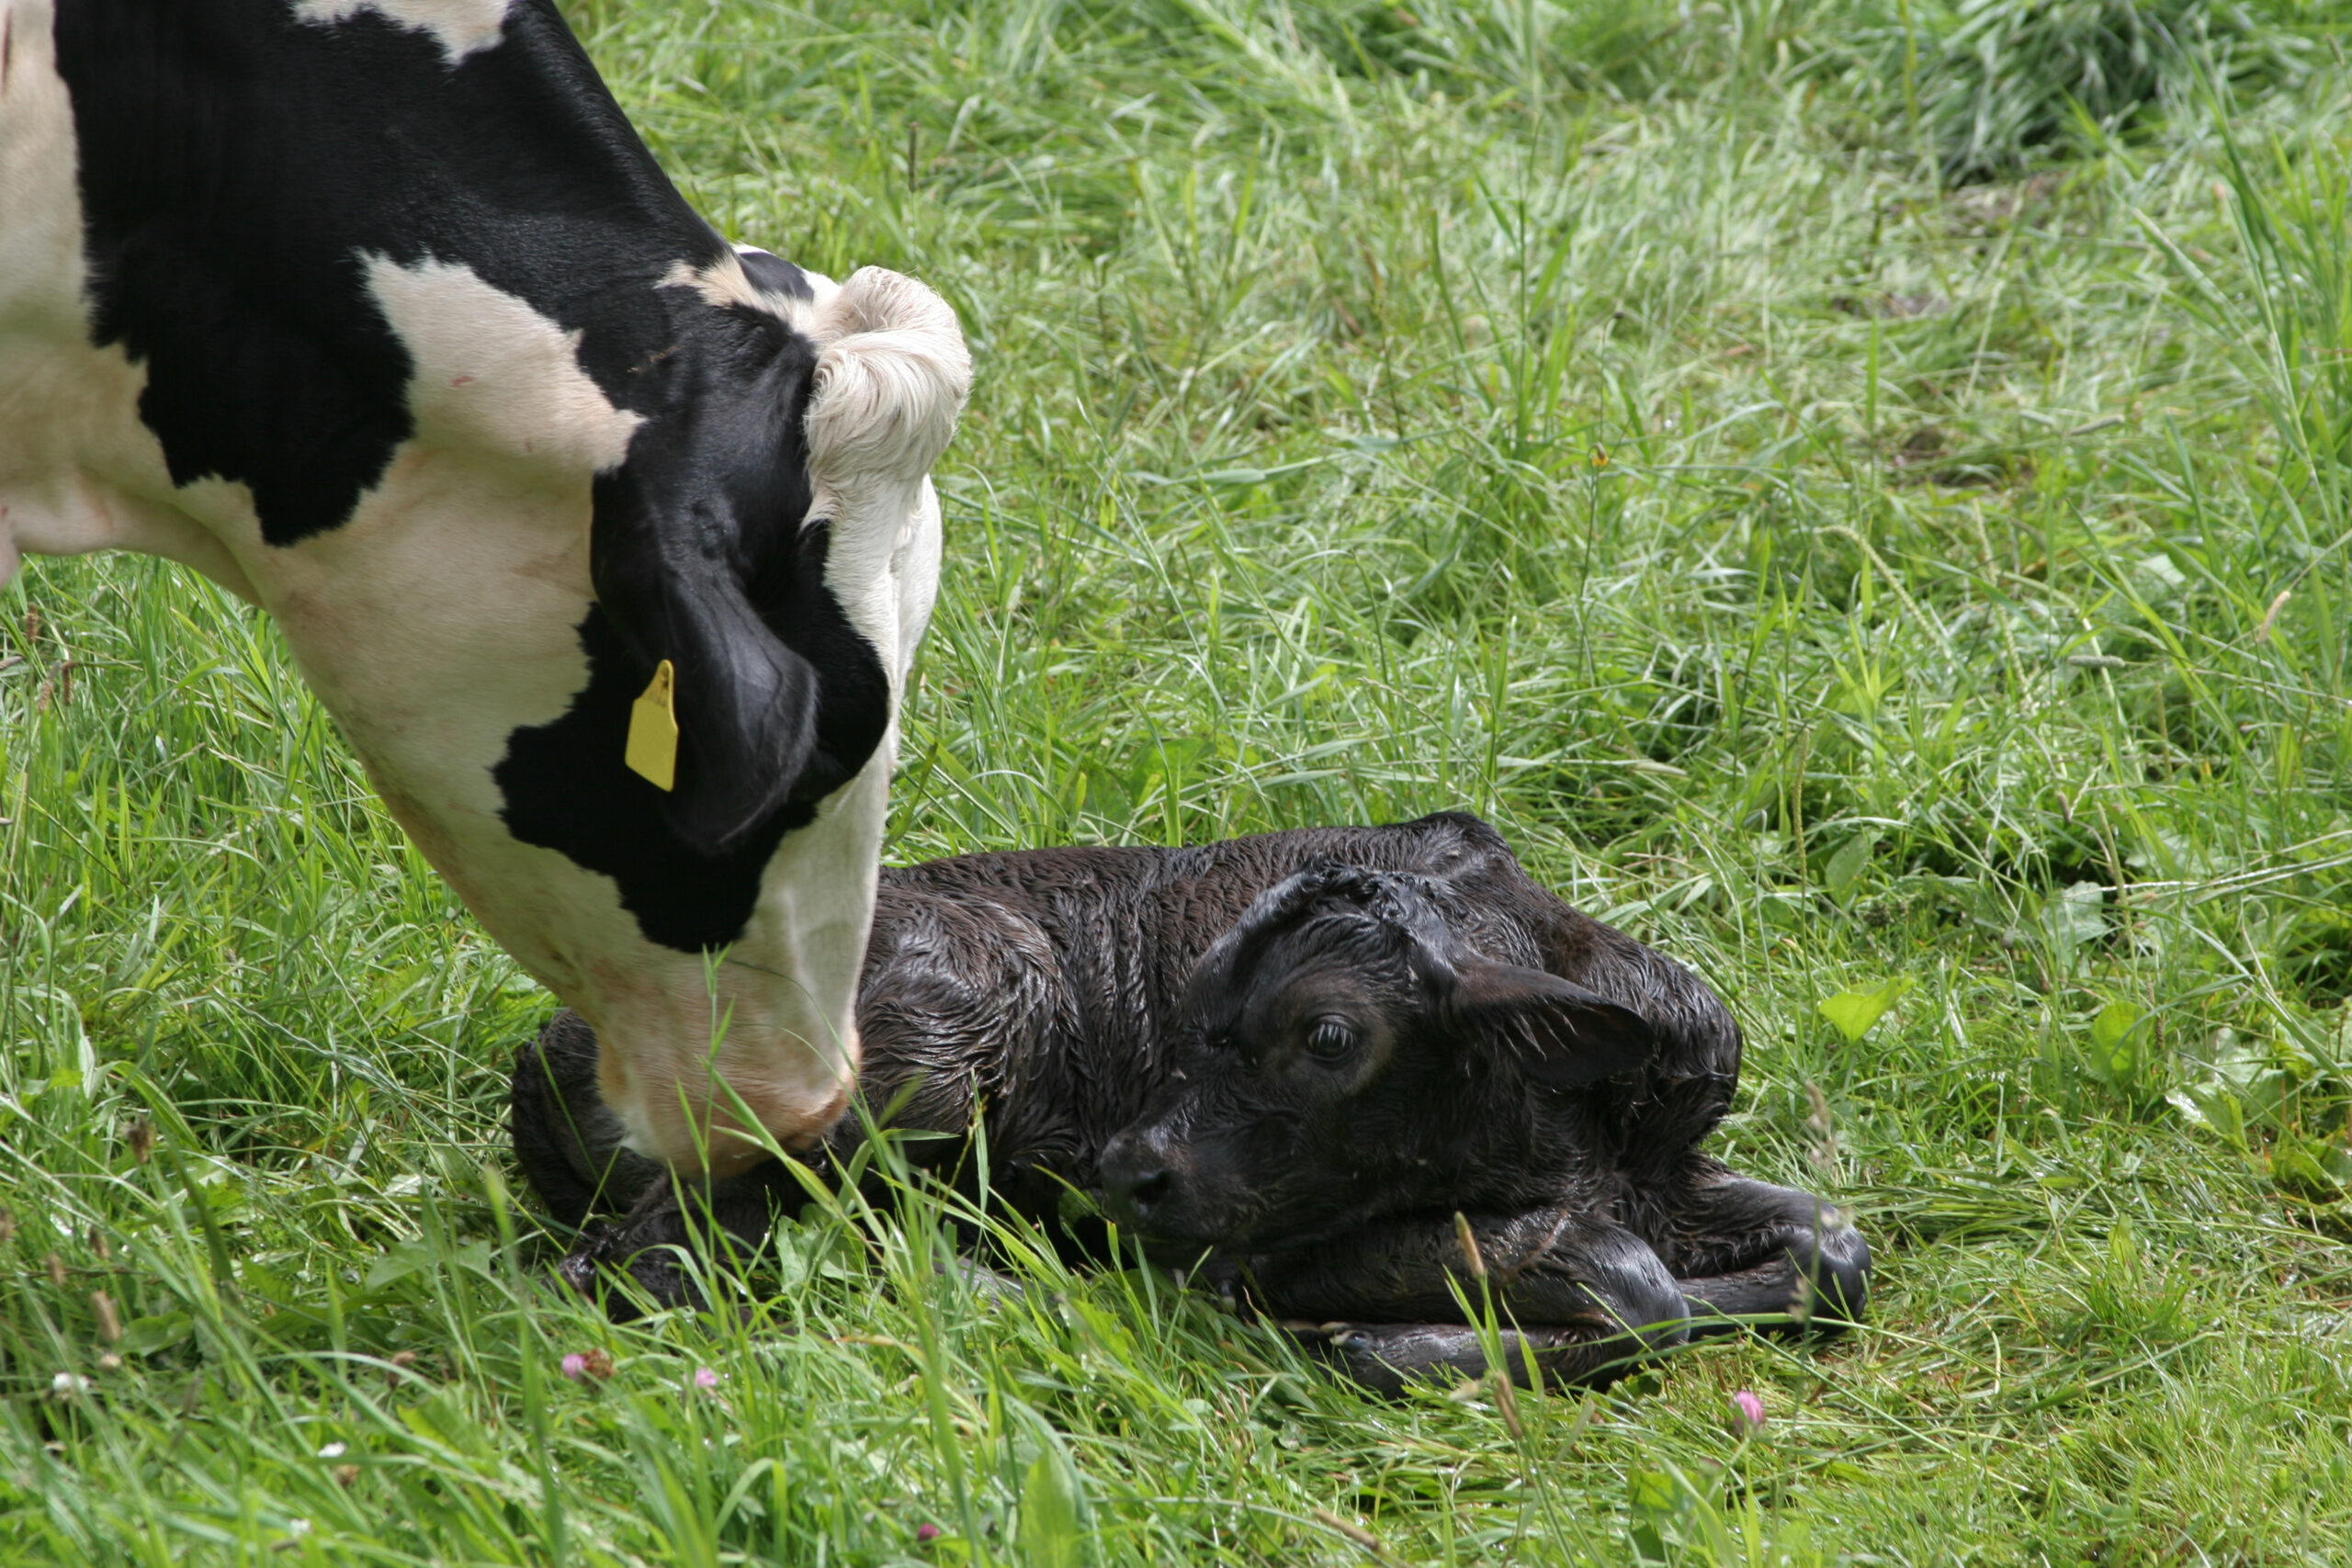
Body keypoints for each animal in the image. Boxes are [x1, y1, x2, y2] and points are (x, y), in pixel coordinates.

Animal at [514, 818, 1871, 1392]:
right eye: (1199, 1001)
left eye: (1327, 1035)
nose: (1129, 1168)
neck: (1566, 1129)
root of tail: (561, 1035)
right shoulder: (1259, 1245)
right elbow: (1628, 1281)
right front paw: (1384, 1346)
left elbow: (1833, 1248)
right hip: (944, 1030)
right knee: (649, 1258)